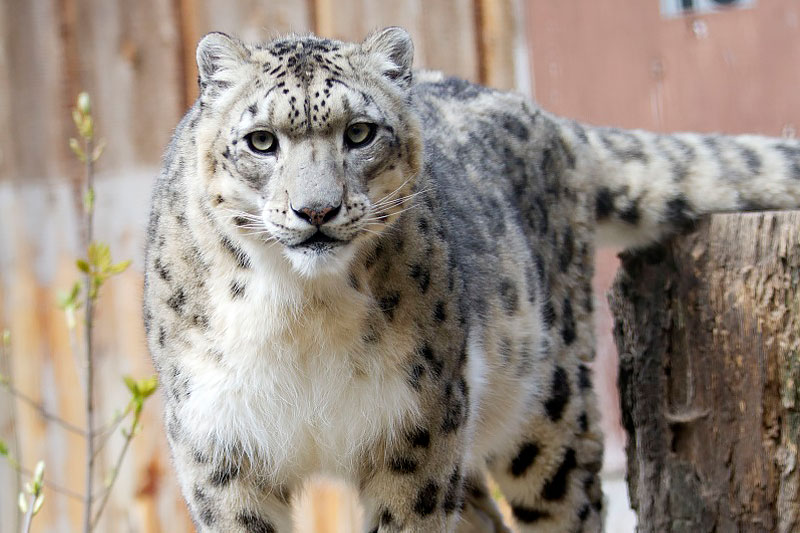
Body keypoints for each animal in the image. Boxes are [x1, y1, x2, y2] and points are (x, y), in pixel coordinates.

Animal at [144, 27, 800, 528]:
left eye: (359, 132)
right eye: (261, 140)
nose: (317, 211)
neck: (301, 315)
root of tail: (550, 121)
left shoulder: (415, 429)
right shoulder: (220, 449)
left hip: (545, 400)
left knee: (568, 498)